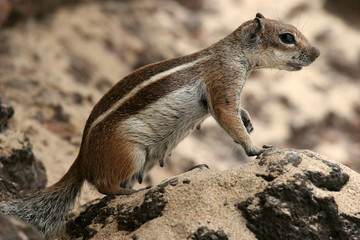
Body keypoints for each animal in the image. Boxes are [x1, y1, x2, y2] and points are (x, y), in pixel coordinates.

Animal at [1, 12, 320, 236]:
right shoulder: (223, 80)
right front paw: (255, 148)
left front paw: (249, 120)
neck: (234, 51)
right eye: (287, 37)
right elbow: (226, 113)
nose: (317, 53)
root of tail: (81, 158)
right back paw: (133, 192)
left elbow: (237, 111)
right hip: (129, 153)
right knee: (104, 186)